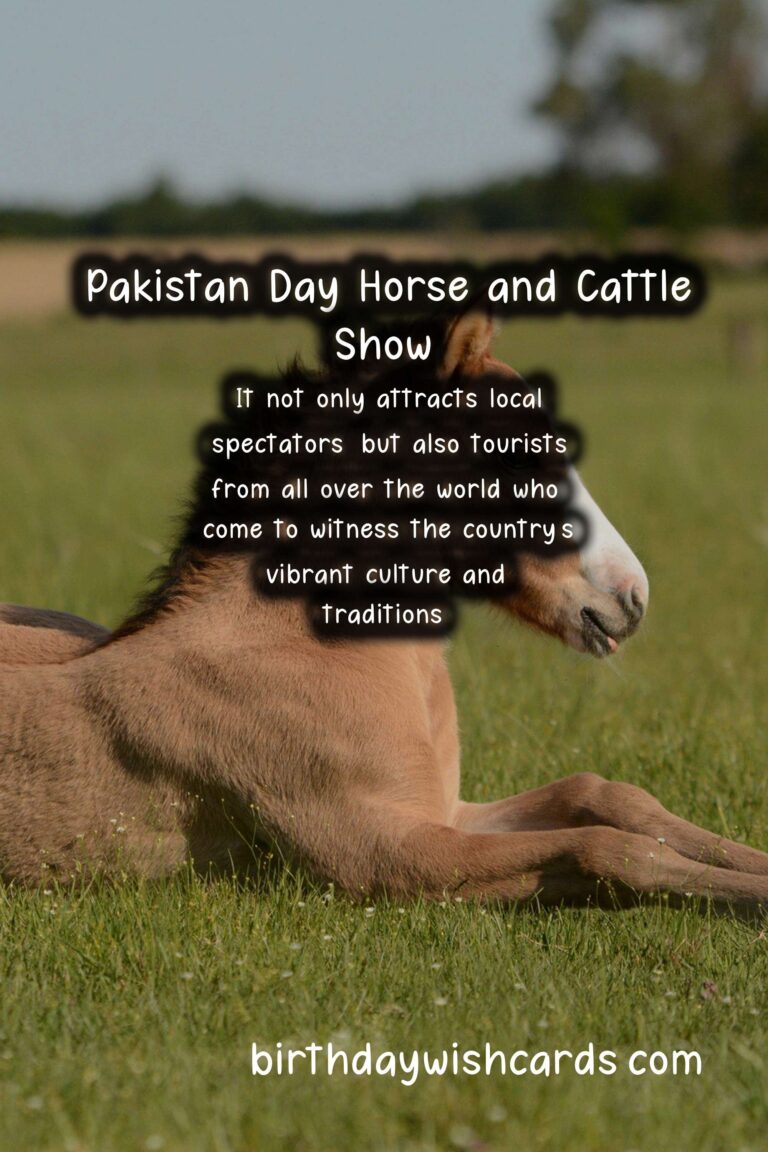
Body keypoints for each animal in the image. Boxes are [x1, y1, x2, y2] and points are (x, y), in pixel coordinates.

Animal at [2, 309, 768, 912]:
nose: (631, 597)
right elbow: (607, 850)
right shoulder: (386, 854)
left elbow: (607, 797)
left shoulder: (446, 811)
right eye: (519, 456)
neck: (301, 646)